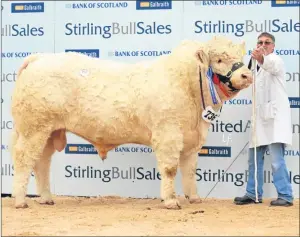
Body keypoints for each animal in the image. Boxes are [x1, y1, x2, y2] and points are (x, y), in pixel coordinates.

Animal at [9, 35, 253, 209]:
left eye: (239, 56)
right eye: (219, 59)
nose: (246, 75)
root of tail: (39, 58)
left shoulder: (191, 139)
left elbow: (190, 170)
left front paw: (194, 198)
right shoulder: (168, 134)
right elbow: (170, 169)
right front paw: (171, 201)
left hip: (49, 131)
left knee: (42, 162)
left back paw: (46, 198)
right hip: (34, 128)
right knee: (24, 159)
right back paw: (20, 201)